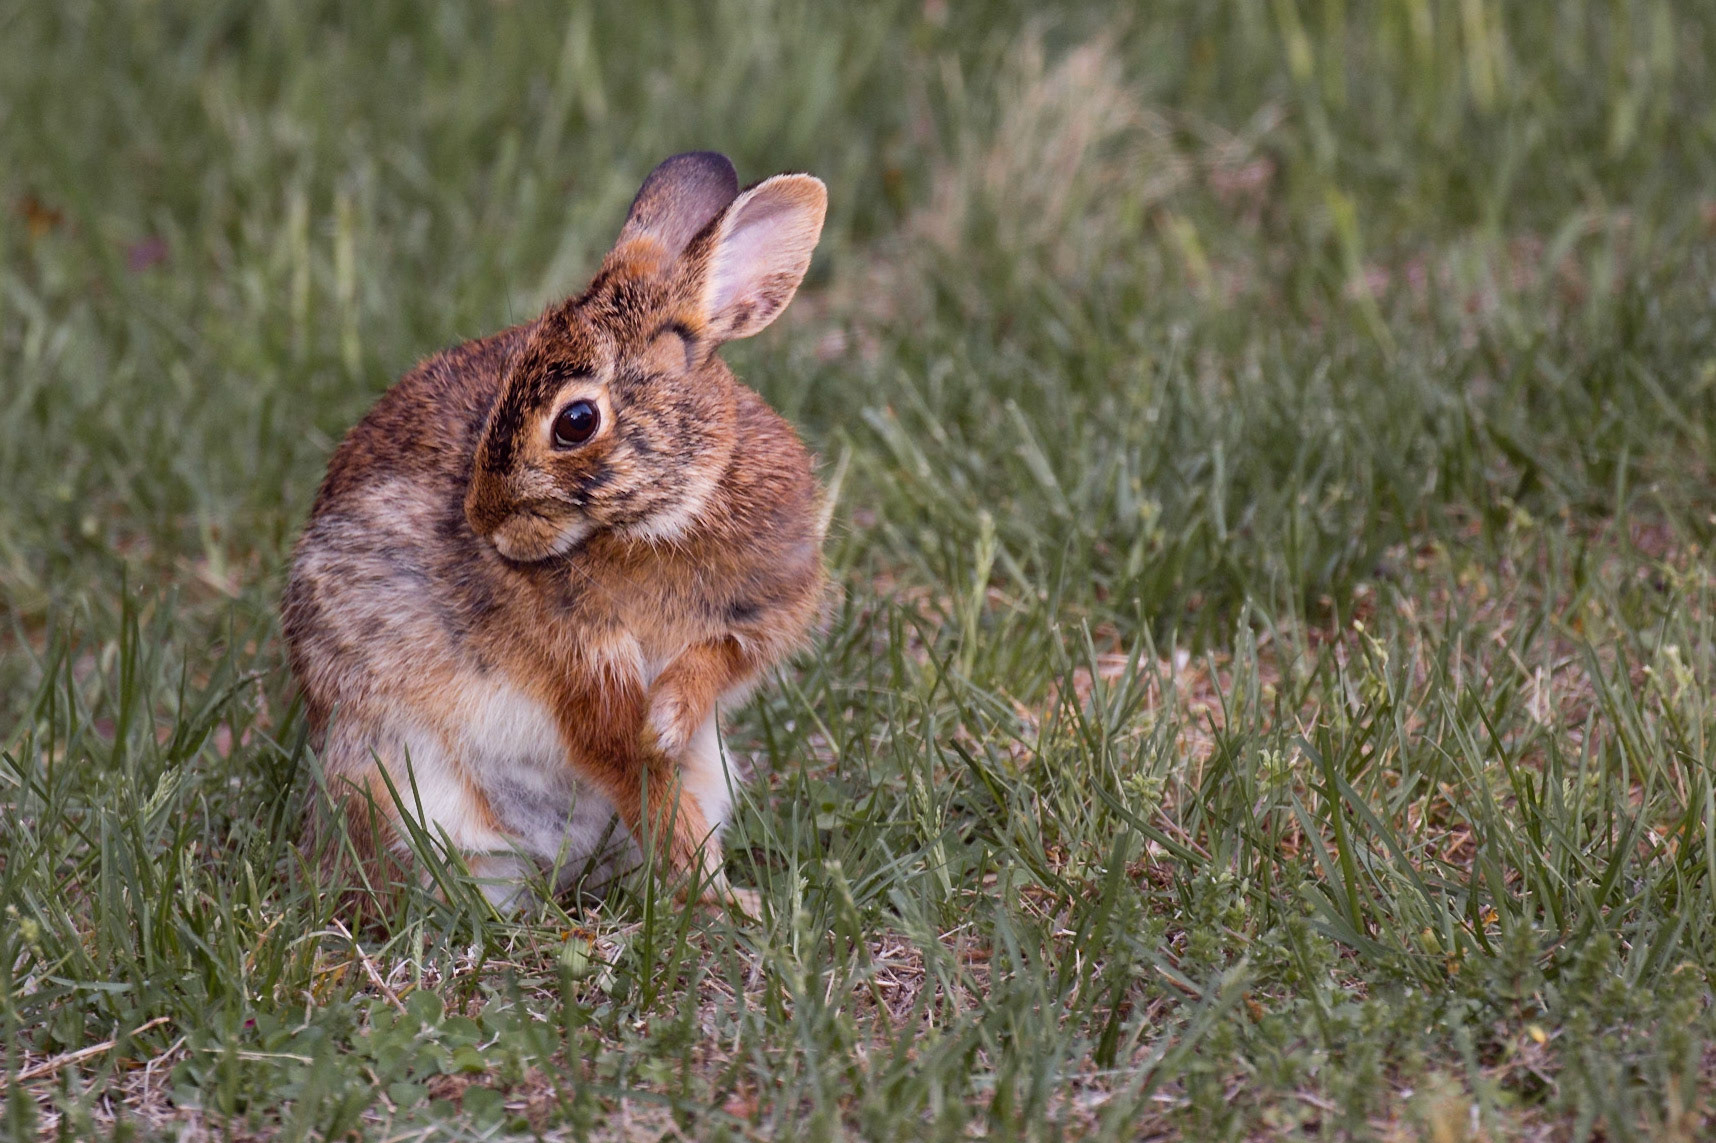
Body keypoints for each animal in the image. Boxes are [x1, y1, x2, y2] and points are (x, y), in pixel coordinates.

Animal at [281, 152, 829, 915]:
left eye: (575, 422)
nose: (481, 518)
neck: (665, 517)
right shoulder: (580, 664)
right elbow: (630, 765)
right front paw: (721, 895)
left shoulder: (762, 612)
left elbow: (715, 664)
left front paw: (670, 721)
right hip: (396, 786)